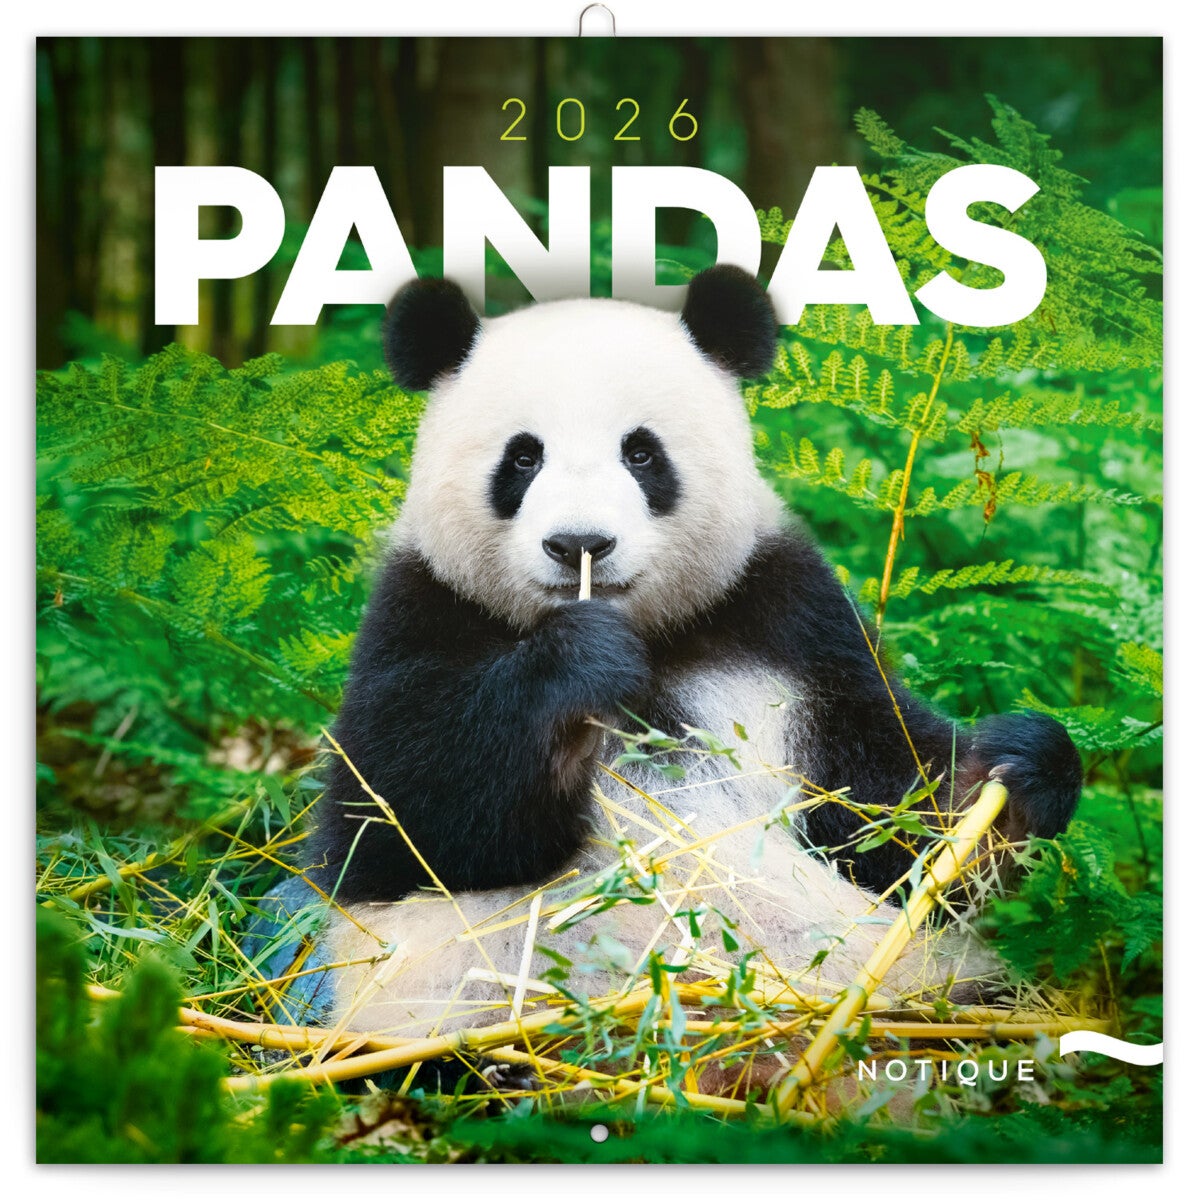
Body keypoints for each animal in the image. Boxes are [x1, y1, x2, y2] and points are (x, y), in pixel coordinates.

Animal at [276, 266, 1082, 1046]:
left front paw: (1018, 770)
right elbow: (395, 823)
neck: (649, 635)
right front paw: (577, 668)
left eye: (641, 453)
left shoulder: (788, 619)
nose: (579, 544)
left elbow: (885, 809)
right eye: (523, 457)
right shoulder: (419, 613)